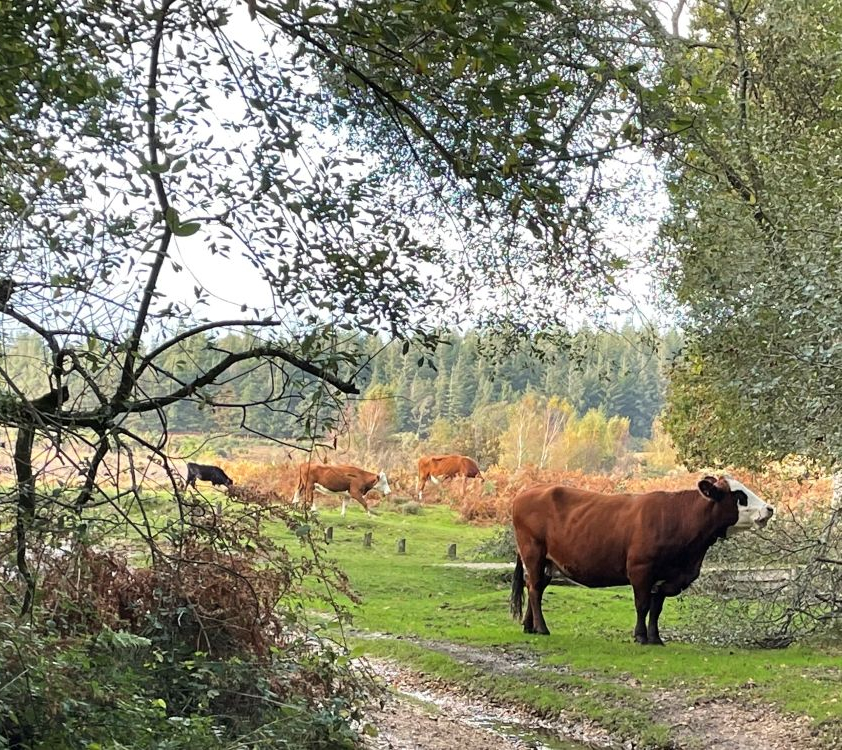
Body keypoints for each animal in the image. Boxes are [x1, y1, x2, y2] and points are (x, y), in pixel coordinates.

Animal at [510, 475, 774, 645]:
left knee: (534, 586)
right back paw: (542, 628)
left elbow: (656, 609)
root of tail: (525, 493)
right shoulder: (641, 570)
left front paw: (655, 638)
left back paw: (529, 626)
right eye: (739, 495)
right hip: (533, 553)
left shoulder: (667, 577)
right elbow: (643, 605)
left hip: (547, 561)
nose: (769, 508)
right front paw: (640, 636)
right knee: (535, 589)